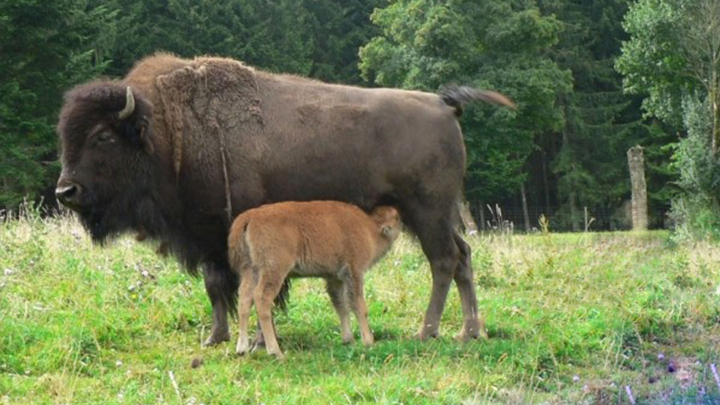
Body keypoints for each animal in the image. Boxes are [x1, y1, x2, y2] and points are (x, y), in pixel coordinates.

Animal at [229, 200, 402, 356]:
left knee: (244, 299)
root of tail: (250, 216)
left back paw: (242, 349)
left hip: (250, 270)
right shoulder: (354, 272)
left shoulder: (335, 278)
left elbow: (341, 306)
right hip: (274, 270)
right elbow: (359, 306)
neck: (370, 227)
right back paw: (275, 352)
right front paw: (368, 341)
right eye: (397, 218)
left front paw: (348, 340)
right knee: (261, 298)